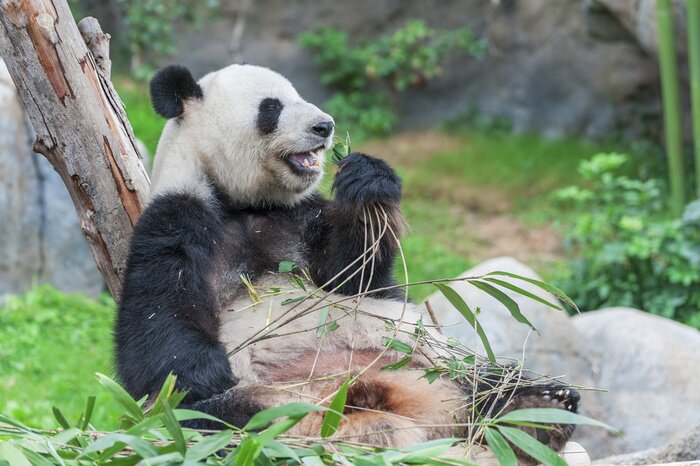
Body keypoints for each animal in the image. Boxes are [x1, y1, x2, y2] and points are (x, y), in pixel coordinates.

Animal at [115, 63, 580, 456]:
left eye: (300, 96)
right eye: (272, 108)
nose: (325, 126)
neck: (243, 204)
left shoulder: (299, 219)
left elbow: (354, 276)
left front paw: (367, 181)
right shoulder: (176, 218)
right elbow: (158, 327)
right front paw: (206, 373)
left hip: (430, 360)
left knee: (486, 382)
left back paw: (540, 410)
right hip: (269, 406)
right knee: (224, 420)